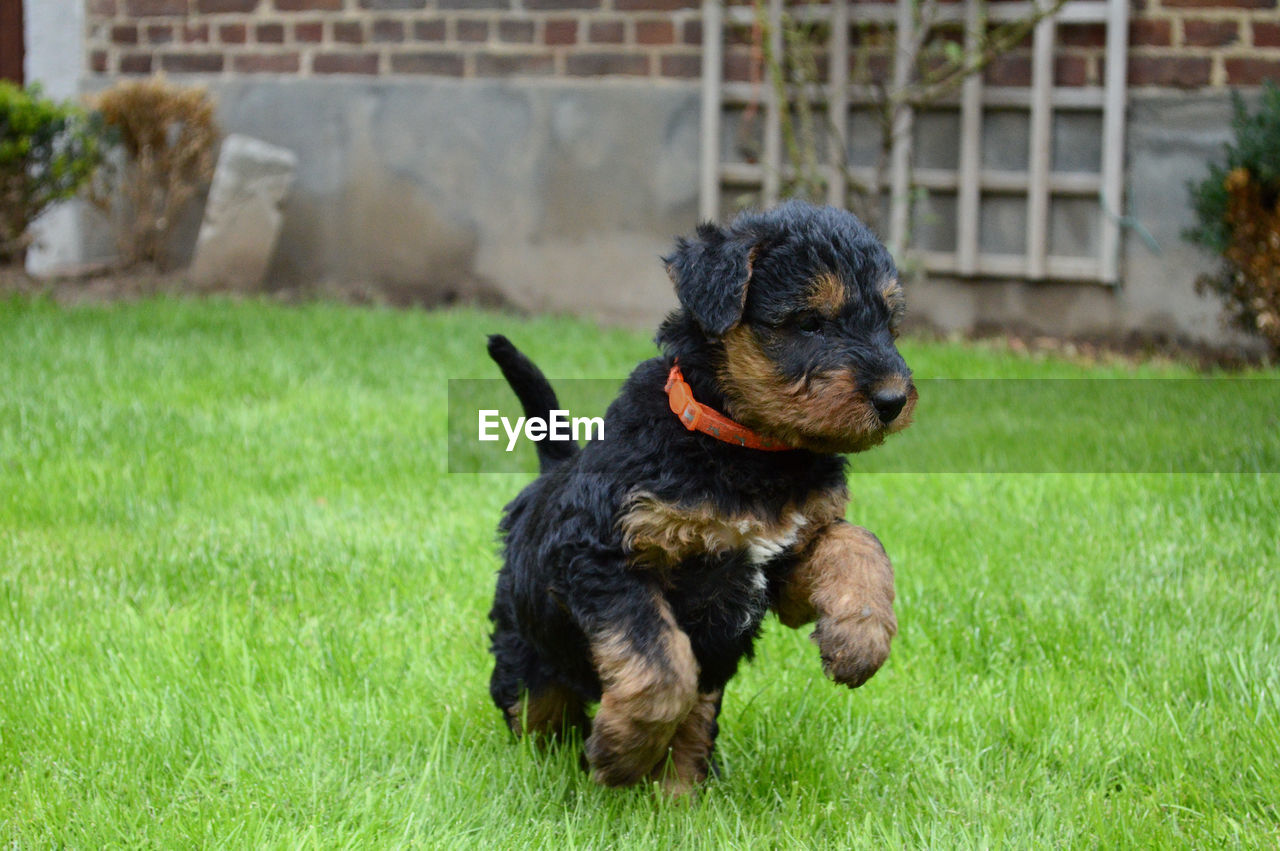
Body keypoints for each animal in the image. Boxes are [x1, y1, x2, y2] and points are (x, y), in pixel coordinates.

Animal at [483, 200, 916, 798]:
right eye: (810, 322)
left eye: (890, 322)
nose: (894, 400)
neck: (749, 451)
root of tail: (554, 470)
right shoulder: (599, 556)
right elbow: (662, 665)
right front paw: (619, 753)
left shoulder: (782, 561)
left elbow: (858, 542)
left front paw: (860, 640)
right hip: (529, 650)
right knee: (537, 711)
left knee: (697, 715)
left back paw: (680, 795)